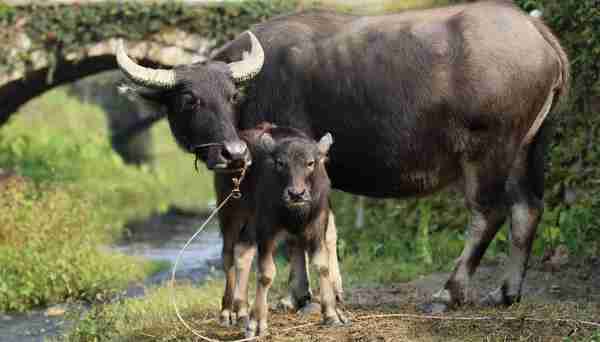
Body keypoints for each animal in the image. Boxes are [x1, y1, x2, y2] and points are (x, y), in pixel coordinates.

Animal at [115, 0, 568, 314]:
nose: (233, 153)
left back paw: (448, 293)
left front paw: (297, 296)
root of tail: (536, 30)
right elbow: (326, 230)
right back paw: (506, 292)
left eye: (231, 96)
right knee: (528, 208)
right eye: (189, 99)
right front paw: (329, 292)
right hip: (529, 147)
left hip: (488, 152)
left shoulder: (290, 167)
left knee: (489, 214)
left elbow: (296, 233)